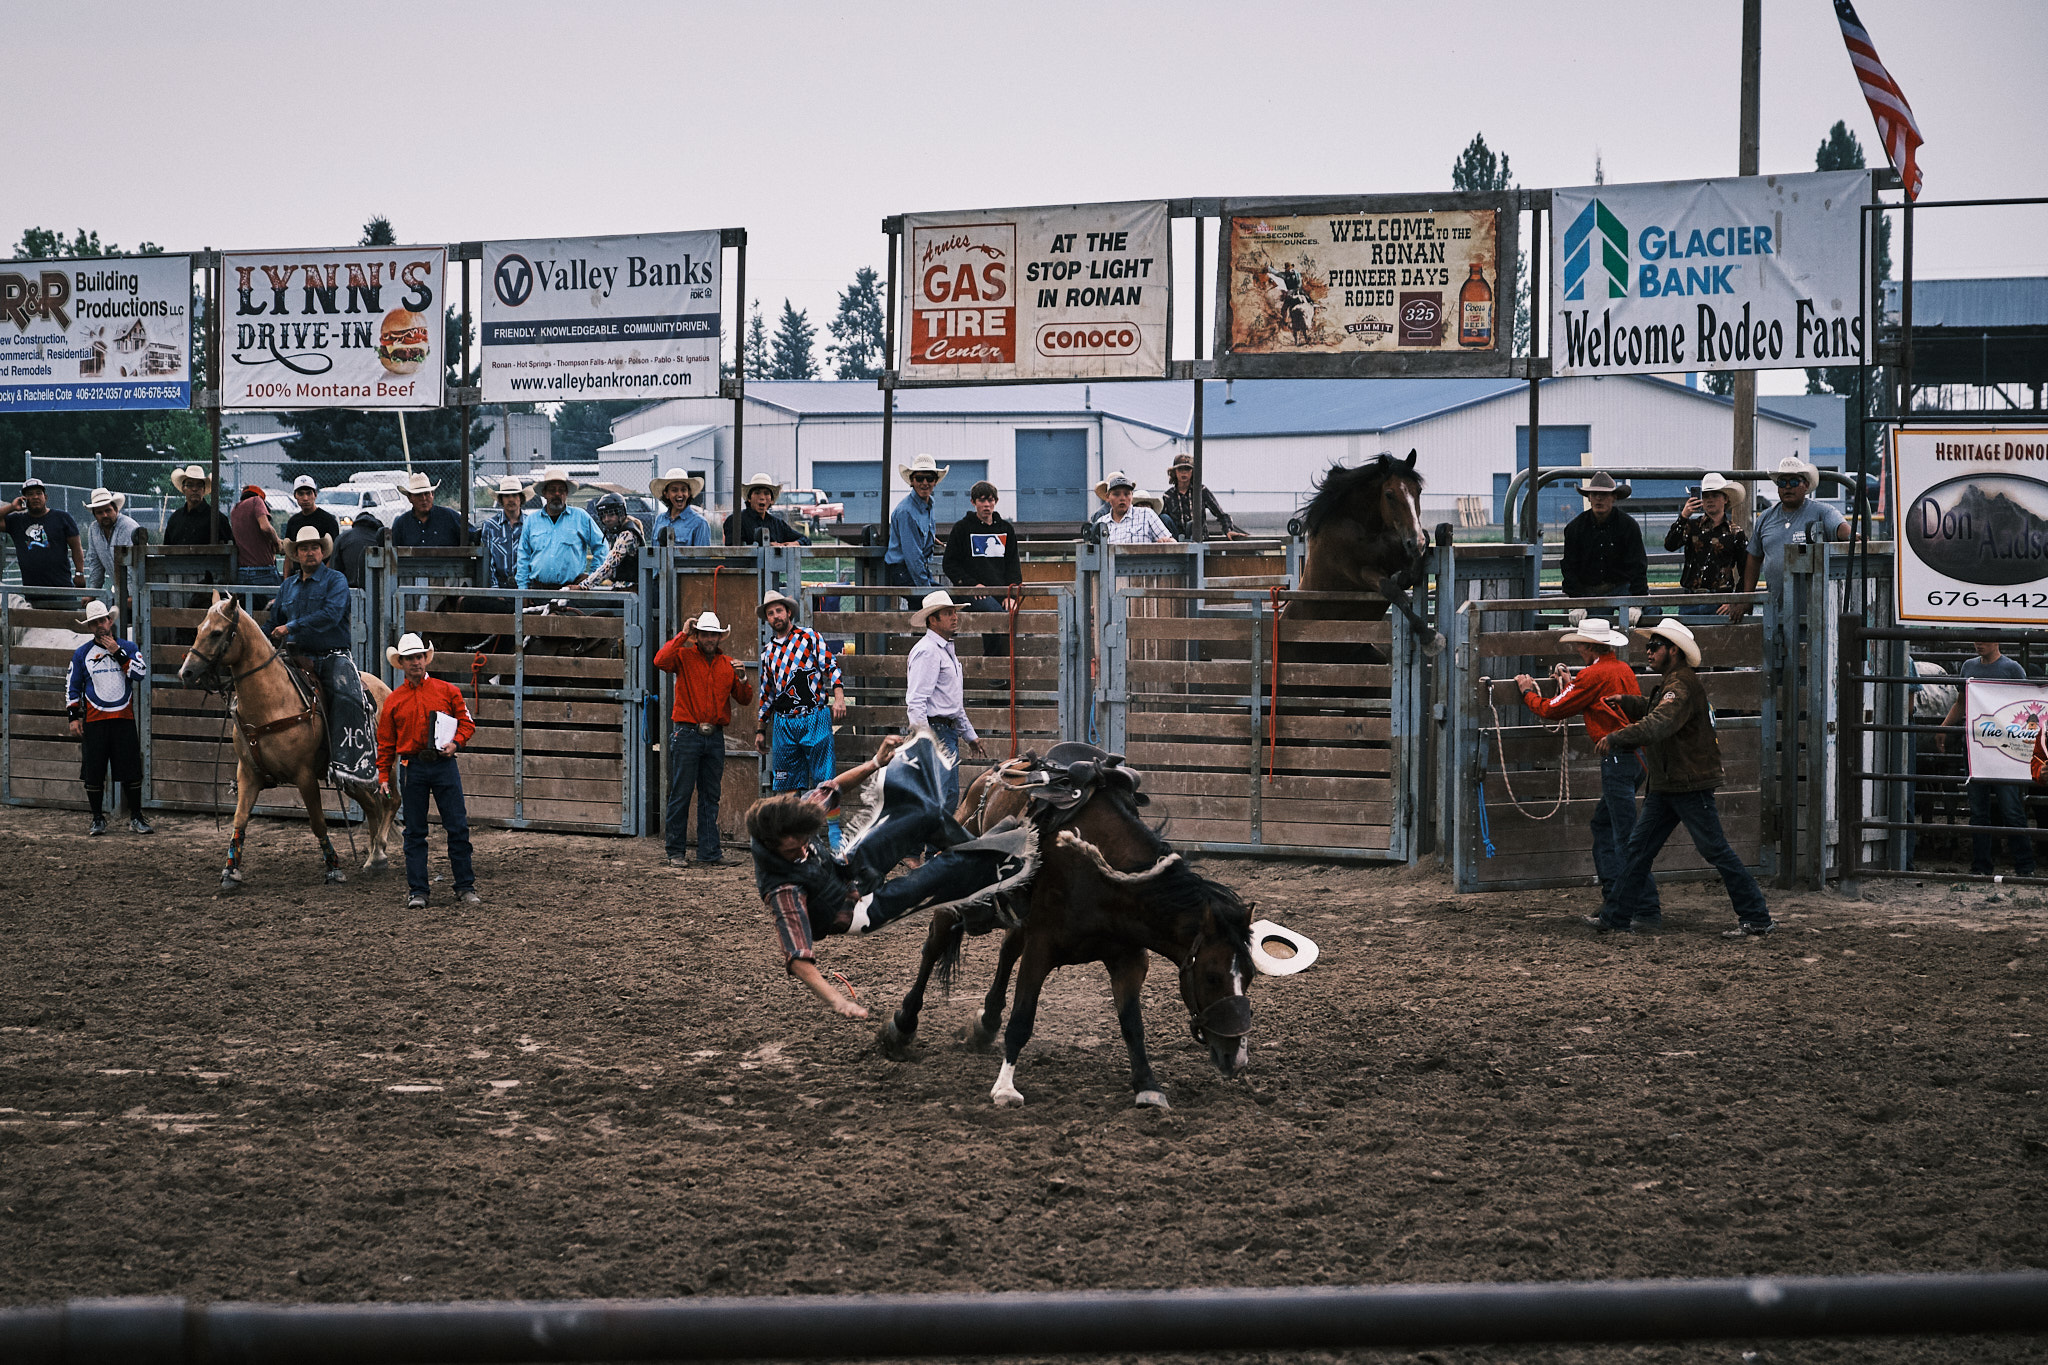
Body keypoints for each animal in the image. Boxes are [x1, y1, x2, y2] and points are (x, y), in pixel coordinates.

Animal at [175, 593, 395, 892]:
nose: (185, 673)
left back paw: (378, 852)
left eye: (217, 633)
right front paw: (230, 871)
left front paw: (333, 869)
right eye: (198, 629)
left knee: (391, 802)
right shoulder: (248, 772)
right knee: (373, 806)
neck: (270, 704)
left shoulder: (304, 776)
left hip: (384, 767)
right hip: (352, 782)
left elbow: (318, 823)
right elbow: (239, 820)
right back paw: (374, 857)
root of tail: (385, 689)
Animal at [884, 757, 1261, 1113]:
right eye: (1212, 977)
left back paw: (987, 1023)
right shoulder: (1041, 948)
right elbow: (1022, 1019)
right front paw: (1005, 1088)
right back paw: (903, 1026)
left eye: (1251, 976)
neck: (1105, 878)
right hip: (955, 893)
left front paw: (1147, 1086)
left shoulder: (1128, 958)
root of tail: (989, 775)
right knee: (934, 947)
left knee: (1006, 952)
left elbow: (1132, 1024)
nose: (1236, 1059)